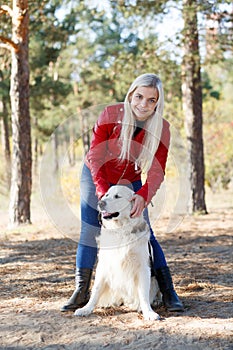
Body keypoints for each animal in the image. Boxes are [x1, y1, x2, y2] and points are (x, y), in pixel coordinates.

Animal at [74, 186, 160, 320]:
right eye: (106, 195)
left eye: (117, 196)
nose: (100, 203)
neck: (120, 230)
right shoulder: (104, 265)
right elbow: (96, 289)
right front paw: (86, 309)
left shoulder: (143, 267)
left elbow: (144, 293)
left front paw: (148, 312)